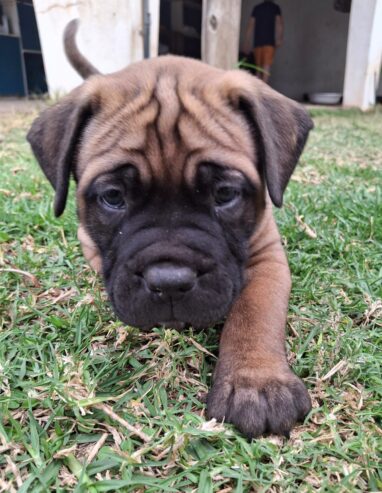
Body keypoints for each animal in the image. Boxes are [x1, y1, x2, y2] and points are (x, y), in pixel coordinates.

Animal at [26, 19, 314, 436]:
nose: (170, 282)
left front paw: (255, 381)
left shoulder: (267, 257)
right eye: (113, 197)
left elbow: (255, 312)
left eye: (225, 193)